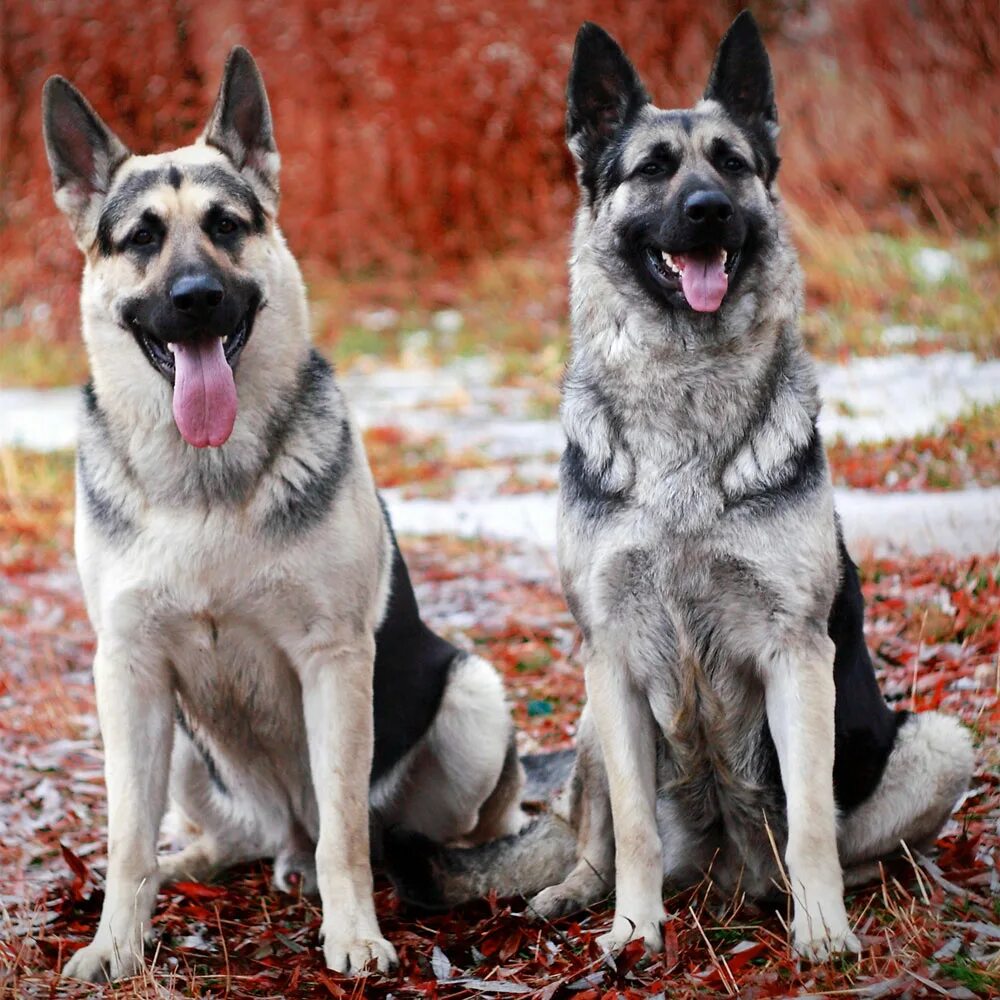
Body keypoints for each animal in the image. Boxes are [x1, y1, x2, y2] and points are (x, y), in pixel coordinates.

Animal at [386, 9, 972, 960]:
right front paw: (634, 927)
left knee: (849, 838)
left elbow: (813, 819)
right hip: (592, 717)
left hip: (938, 742)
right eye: (655, 169)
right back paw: (578, 894)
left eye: (731, 163)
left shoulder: (796, 655)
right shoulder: (614, 661)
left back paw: (841, 893)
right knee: (592, 834)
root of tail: (729, 872)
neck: (686, 395)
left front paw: (822, 932)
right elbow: (631, 826)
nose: (709, 212)